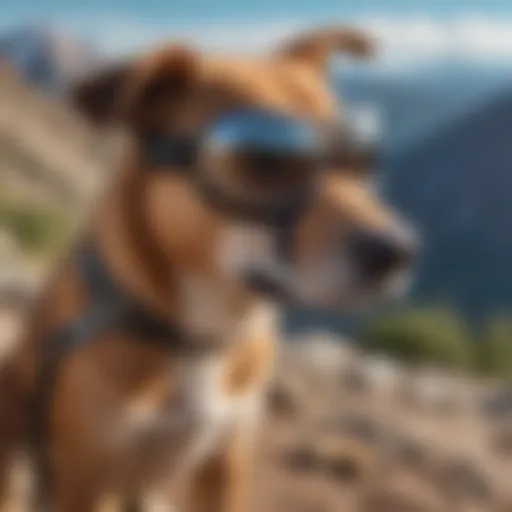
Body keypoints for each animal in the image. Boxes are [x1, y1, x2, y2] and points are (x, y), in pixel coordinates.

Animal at [0, 25, 416, 512]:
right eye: (262, 160)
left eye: (360, 160)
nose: (397, 251)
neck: (199, 335)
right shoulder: (85, 479)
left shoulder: (225, 460)